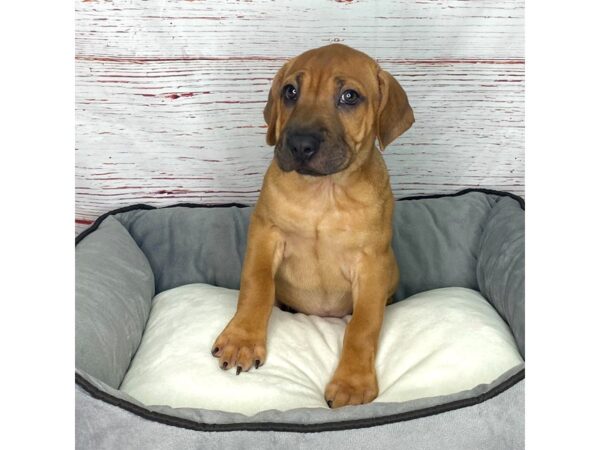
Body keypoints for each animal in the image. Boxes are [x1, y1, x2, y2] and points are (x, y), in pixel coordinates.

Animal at [213, 43, 414, 408]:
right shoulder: (265, 234)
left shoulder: (372, 264)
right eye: (290, 91)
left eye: (349, 96)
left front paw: (352, 382)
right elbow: (256, 285)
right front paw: (242, 339)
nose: (299, 144)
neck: (325, 192)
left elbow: (364, 325)